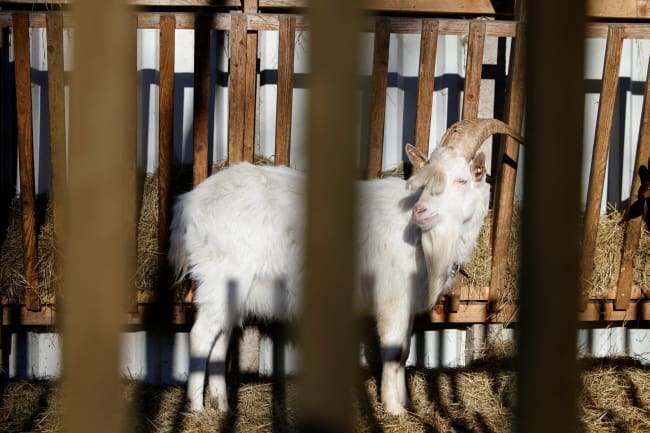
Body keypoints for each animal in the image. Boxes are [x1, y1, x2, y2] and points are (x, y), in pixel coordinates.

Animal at [168, 118, 524, 416]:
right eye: (424, 183)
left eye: (462, 180)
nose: (420, 212)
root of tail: (189, 203)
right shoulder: (393, 298)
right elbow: (394, 351)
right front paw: (394, 409)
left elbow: (406, 351)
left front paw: (405, 403)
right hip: (219, 276)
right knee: (200, 336)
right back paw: (197, 409)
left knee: (220, 341)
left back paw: (222, 406)